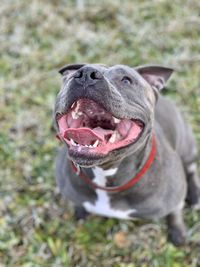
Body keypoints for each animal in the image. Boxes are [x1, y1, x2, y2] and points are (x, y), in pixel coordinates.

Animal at [54, 63, 199, 247]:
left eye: (126, 80)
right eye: (71, 75)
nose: (85, 74)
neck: (106, 173)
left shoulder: (174, 199)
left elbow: (175, 213)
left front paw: (177, 232)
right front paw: (81, 210)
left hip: (186, 145)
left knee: (191, 168)